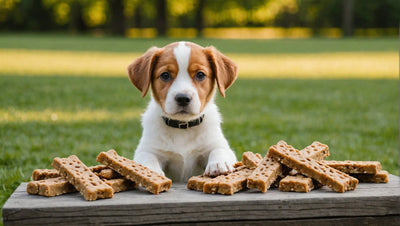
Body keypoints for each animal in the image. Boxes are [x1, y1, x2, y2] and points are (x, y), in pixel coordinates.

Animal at [126, 41, 238, 182]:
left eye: (200, 75)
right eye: (165, 75)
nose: (183, 98)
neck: (183, 127)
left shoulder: (218, 144)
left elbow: (219, 150)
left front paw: (218, 164)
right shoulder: (146, 149)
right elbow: (147, 157)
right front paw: (150, 172)